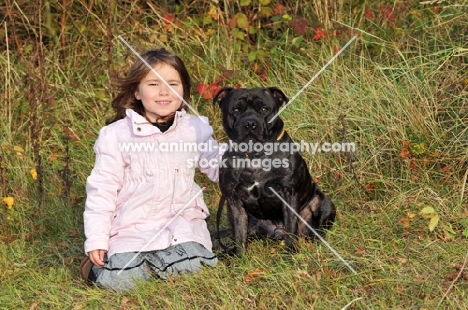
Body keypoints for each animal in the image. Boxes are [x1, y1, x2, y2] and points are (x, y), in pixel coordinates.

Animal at [214, 86, 338, 254]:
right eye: (236, 109)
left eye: (264, 109)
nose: (250, 123)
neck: (253, 157)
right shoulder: (234, 200)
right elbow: (240, 234)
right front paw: (241, 257)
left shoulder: (288, 193)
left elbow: (291, 226)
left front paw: (291, 252)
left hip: (324, 204)